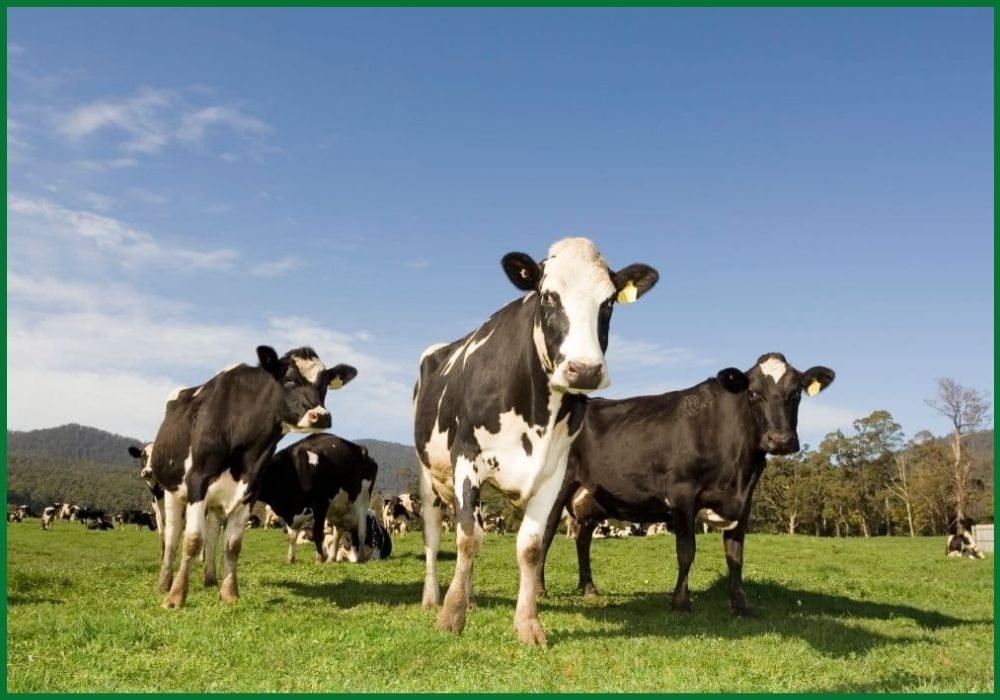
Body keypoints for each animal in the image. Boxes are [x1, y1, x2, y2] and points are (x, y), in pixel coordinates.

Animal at [148, 345, 357, 608]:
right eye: (289, 379)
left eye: (324, 384)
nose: (320, 416)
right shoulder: (198, 482)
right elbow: (192, 540)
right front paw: (175, 597)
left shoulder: (250, 489)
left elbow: (232, 545)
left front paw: (229, 594)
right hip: (171, 490)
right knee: (173, 535)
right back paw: (164, 583)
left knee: (212, 534)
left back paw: (210, 578)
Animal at [256, 432, 378, 565]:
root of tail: (363, 451)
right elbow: (292, 535)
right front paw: (290, 559)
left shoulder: (320, 504)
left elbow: (317, 532)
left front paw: (319, 558)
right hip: (338, 507)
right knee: (338, 532)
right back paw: (331, 558)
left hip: (362, 500)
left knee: (362, 531)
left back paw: (361, 557)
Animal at [413, 237, 658, 645]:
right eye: (547, 296)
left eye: (609, 302)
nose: (585, 370)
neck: (536, 413)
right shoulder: (467, 457)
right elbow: (467, 538)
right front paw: (451, 616)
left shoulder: (553, 472)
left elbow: (529, 547)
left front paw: (527, 623)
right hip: (428, 475)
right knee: (434, 535)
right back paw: (433, 597)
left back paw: (471, 597)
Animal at [537, 352, 835, 617]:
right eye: (752, 393)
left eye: (796, 393)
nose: (780, 440)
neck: (737, 468)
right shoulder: (682, 494)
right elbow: (686, 551)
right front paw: (680, 602)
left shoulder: (744, 500)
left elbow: (735, 556)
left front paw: (740, 605)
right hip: (556, 488)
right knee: (546, 534)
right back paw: (540, 590)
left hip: (591, 499)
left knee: (583, 540)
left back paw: (588, 588)